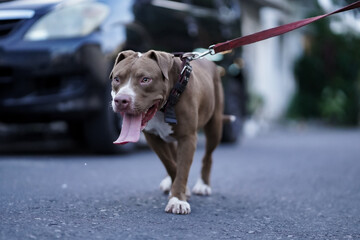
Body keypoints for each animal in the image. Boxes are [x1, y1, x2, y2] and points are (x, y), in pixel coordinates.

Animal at [109, 49, 231, 215]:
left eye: (145, 79)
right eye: (116, 79)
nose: (121, 100)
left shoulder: (188, 138)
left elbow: (182, 168)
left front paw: (178, 200)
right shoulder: (153, 137)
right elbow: (170, 164)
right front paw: (180, 191)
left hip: (215, 125)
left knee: (208, 156)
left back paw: (203, 185)